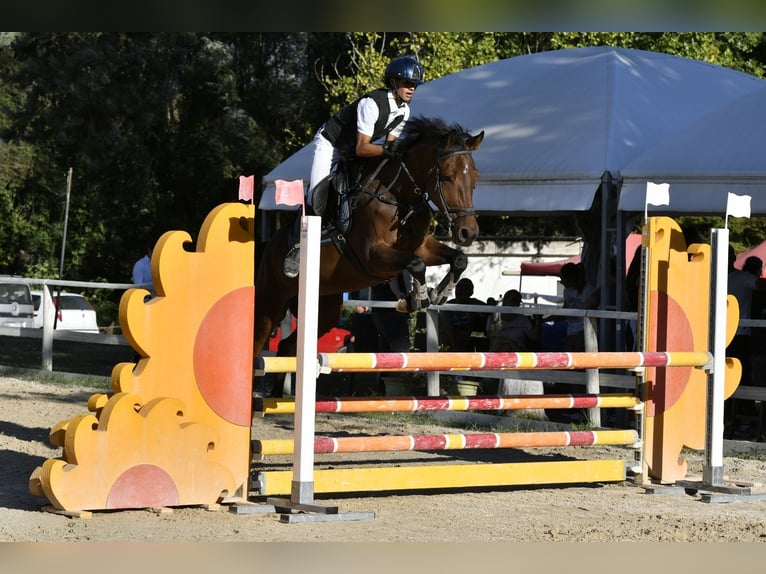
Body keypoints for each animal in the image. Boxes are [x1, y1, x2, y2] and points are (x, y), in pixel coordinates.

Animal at [253, 115, 485, 372]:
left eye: (475, 177)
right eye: (447, 177)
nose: (468, 233)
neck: (400, 198)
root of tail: (269, 245)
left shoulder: (421, 247)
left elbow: (458, 259)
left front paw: (439, 294)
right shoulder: (372, 256)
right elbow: (416, 264)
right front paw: (419, 298)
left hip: (324, 308)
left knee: (286, 347)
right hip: (270, 303)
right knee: (257, 346)